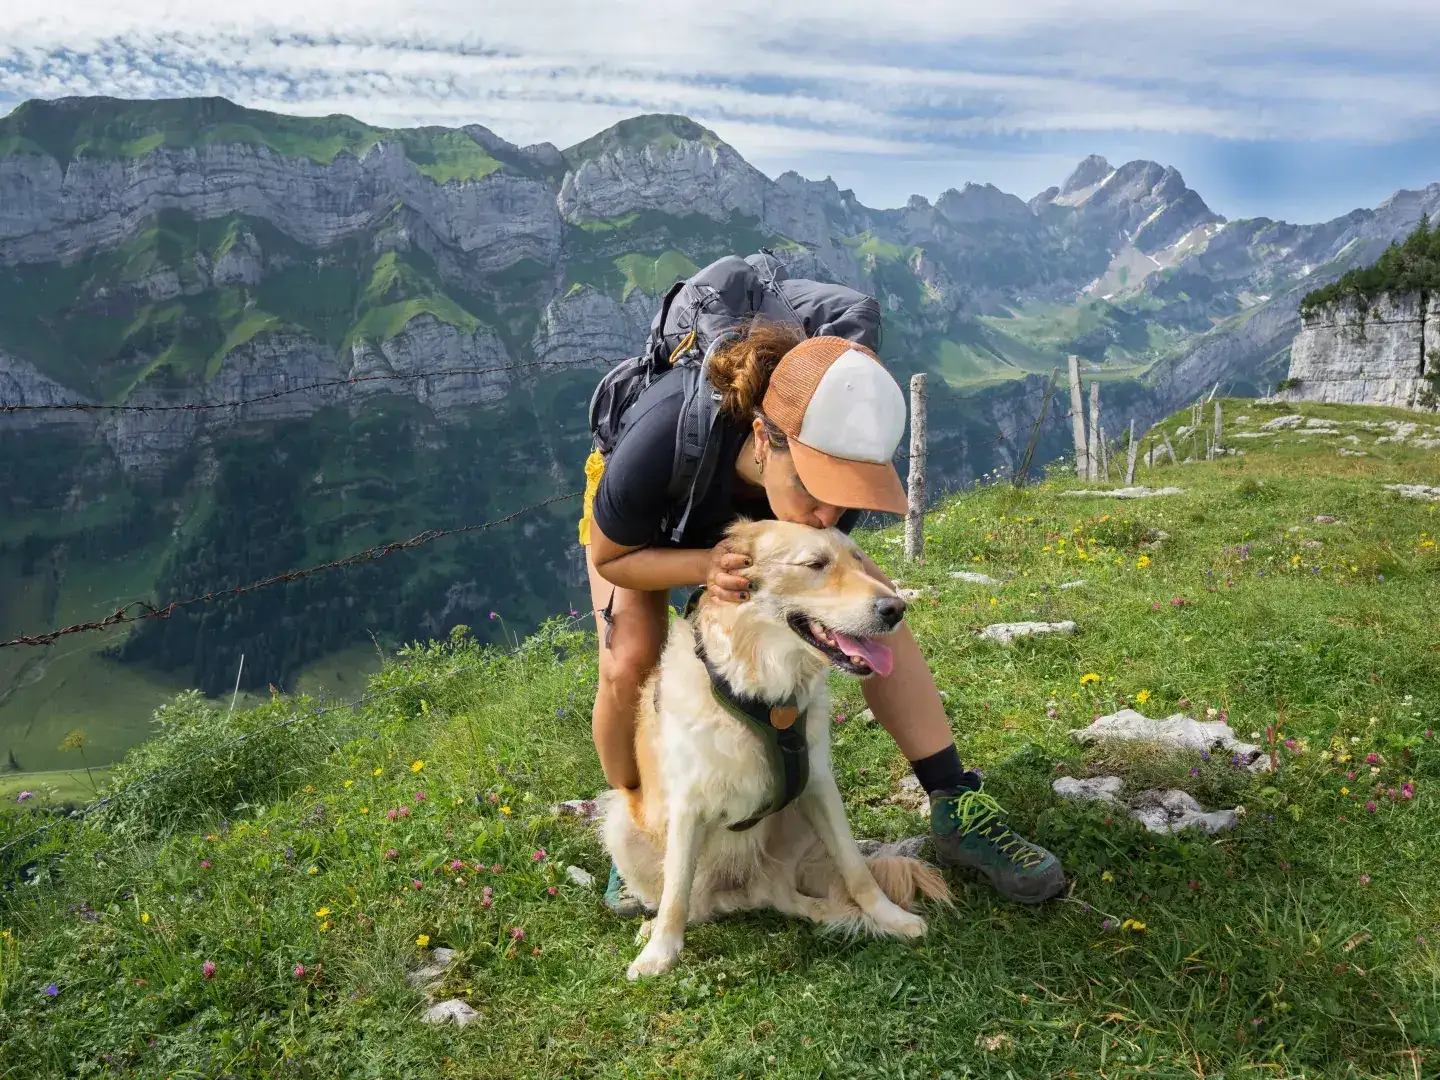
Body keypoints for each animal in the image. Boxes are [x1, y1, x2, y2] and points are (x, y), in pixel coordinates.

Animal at [599, 521, 950, 984]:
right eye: (815, 564)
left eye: (858, 559)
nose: (896, 609)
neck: (762, 692)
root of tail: (744, 896)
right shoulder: (688, 804)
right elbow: (675, 892)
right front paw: (660, 954)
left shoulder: (818, 784)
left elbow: (856, 867)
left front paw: (890, 916)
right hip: (619, 820)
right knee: (694, 903)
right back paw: (654, 927)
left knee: (785, 895)